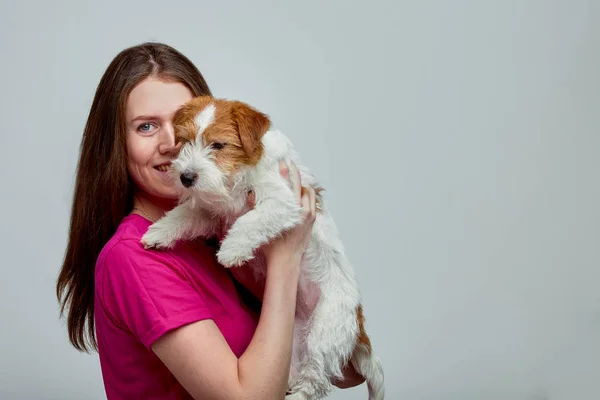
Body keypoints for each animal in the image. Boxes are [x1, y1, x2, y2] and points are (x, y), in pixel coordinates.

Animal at [141, 95, 384, 398]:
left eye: (218, 145)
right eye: (184, 141)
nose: (186, 177)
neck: (238, 174)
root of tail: (358, 323)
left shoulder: (283, 203)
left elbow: (250, 220)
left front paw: (231, 250)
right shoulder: (212, 210)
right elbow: (184, 214)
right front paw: (157, 232)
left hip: (325, 332)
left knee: (316, 378)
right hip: (292, 344)